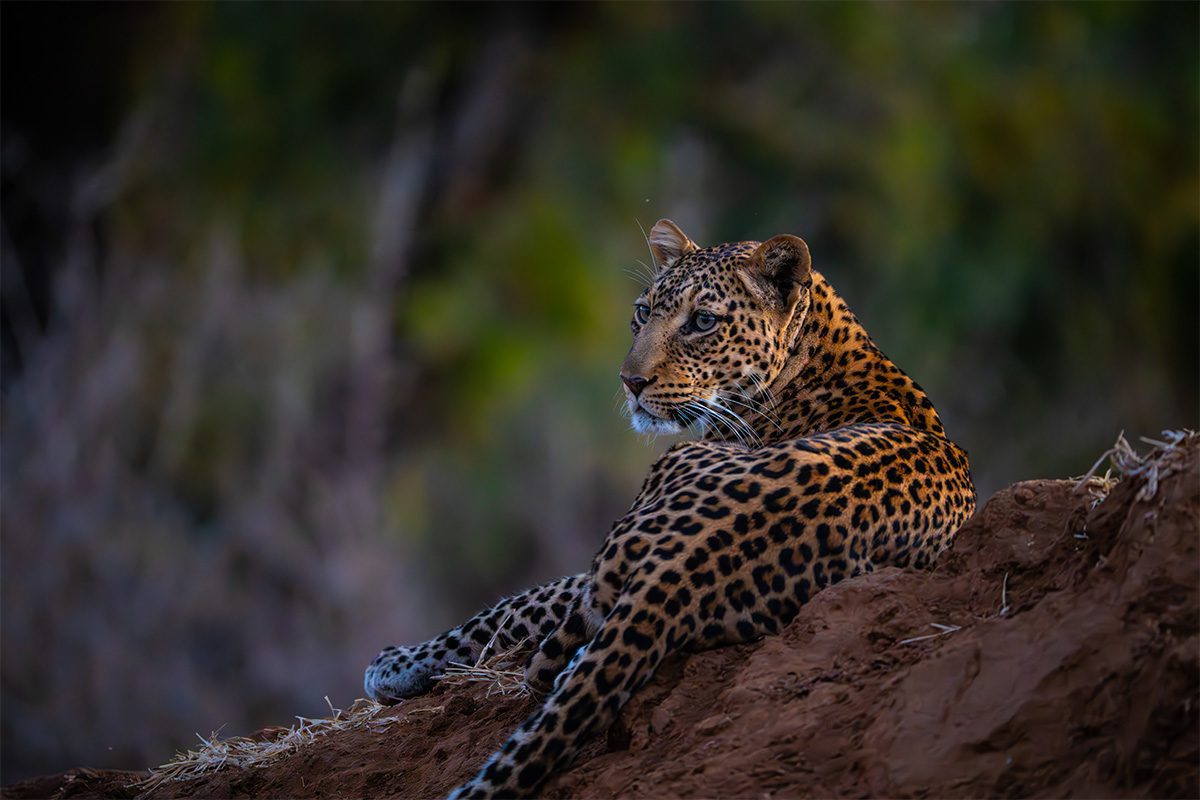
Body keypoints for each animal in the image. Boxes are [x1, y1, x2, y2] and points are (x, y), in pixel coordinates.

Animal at [364, 219, 977, 798]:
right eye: (642, 313)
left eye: (702, 322)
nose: (630, 382)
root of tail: (692, 559)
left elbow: (509, 606)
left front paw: (395, 664)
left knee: (543, 662)